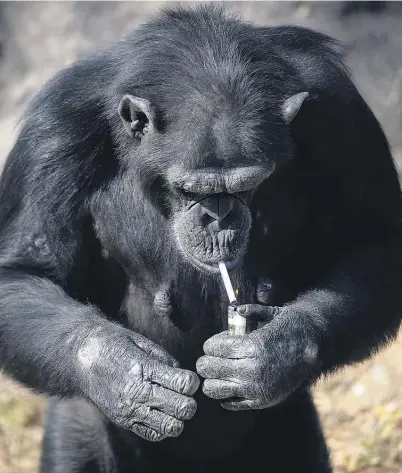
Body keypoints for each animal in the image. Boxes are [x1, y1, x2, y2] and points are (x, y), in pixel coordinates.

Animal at [0, 4, 402, 472]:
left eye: (247, 185)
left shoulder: (341, 111)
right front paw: (123, 373)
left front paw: (272, 354)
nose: (218, 217)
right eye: (190, 189)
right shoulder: (55, 130)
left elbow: (372, 242)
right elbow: (25, 270)